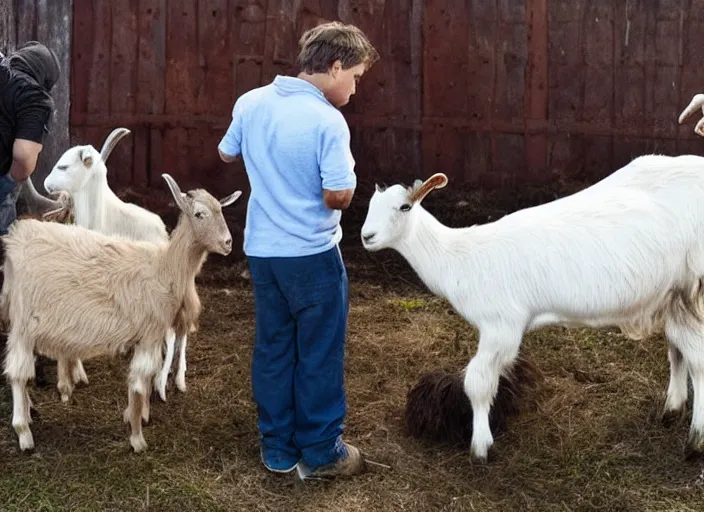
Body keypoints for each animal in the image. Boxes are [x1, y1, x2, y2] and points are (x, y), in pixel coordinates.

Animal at [1, 173, 241, 452]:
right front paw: (137, 438)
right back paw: (23, 432)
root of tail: (15, 240)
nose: (228, 243)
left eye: (221, 210)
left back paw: (29, 414)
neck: (164, 269)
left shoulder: (148, 336)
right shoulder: (150, 334)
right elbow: (139, 384)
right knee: (18, 374)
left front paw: (138, 417)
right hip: (24, 322)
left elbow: (142, 383)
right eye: (200, 214)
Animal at [360, 155, 704, 460]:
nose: (367, 236)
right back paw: (672, 410)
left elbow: (477, 382)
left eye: (404, 207)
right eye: (370, 206)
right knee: (680, 350)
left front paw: (480, 449)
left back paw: (695, 442)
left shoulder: (501, 325)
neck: (459, 257)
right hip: (674, 296)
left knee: (697, 359)